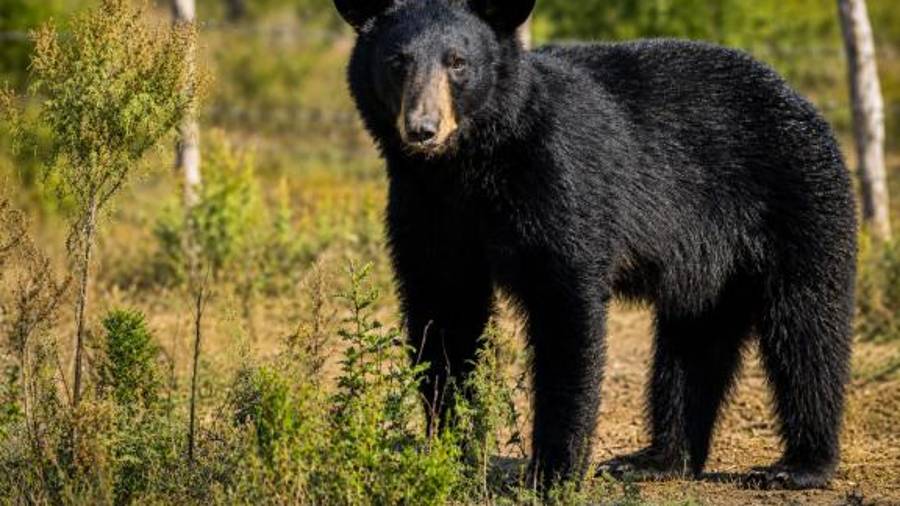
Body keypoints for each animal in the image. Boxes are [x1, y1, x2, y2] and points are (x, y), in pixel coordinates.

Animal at [333, 0, 857, 491]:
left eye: (458, 62)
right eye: (397, 61)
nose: (422, 129)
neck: (469, 167)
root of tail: (802, 100)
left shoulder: (559, 180)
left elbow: (565, 311)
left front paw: (552, 471)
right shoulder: (425, 208)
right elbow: (443, 312)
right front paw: (450, 453)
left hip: (800, 199)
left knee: (807, 328)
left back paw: (798, 466)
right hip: (711, 268)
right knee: (693, 343)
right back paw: (655, 460)